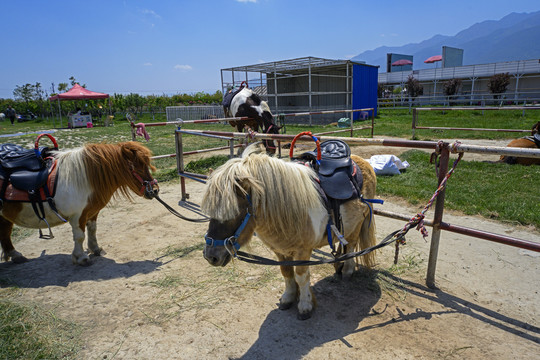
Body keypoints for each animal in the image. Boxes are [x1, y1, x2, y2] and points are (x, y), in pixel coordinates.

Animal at [0, 142, 158, 266]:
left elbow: (92, 229)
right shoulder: (78, 216)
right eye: (137, 168)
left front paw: (95, 249)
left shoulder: (91, 212)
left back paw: (15, 255)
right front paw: (81, 258)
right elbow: (80, 236)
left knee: (5, 232)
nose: (155, 190)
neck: (83, 179)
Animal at [200, 142, 378, 320]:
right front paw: (288, 298)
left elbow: (301, 276)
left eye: (235, 212)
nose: (211, 256)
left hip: (356, 225)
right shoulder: (280, 250)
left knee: (351, 245)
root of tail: (362, 161)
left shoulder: (303, 251)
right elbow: (286, 272)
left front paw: (305, 305)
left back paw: (347, 270)